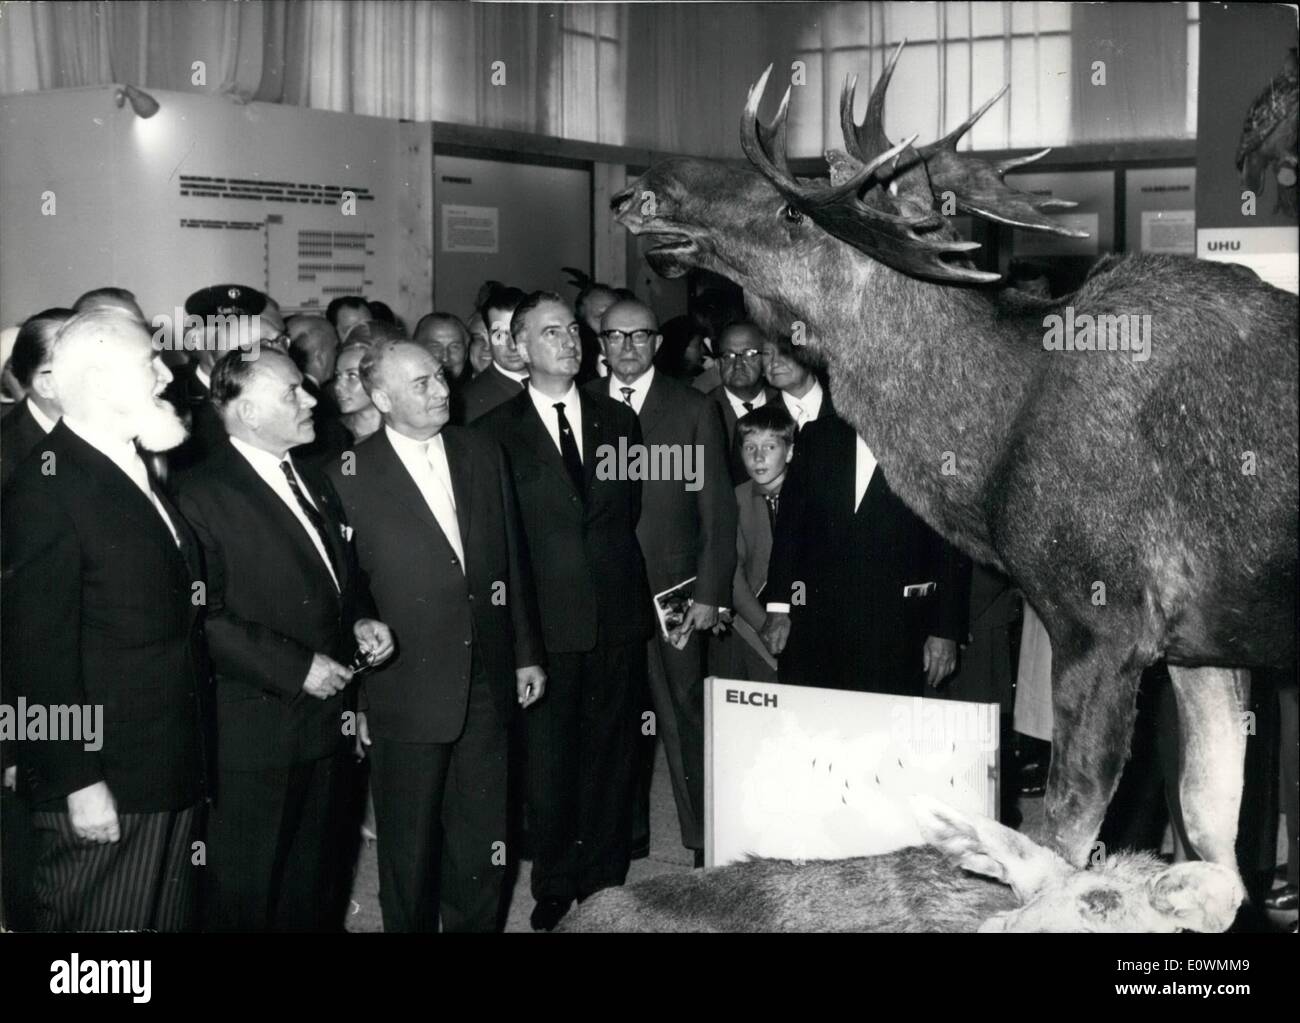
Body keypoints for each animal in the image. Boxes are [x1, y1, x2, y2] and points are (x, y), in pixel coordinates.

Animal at [611, 43, 1300, 930]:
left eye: (792, 210)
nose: (643, 185)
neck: (993, 448)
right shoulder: (1200, 642)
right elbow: (1211, 826)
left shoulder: (1101, 620)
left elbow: (1065, 838)